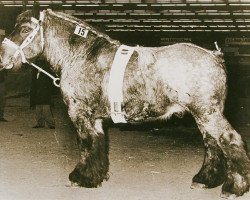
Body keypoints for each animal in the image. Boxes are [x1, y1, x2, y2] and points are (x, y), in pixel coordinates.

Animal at [0, 8, 250, 198]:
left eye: (25, 29)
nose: (3, 57)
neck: (82, 55)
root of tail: (215, 56)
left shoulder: (80, 113)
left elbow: (86, 144)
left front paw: (80, 177)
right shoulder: (95, 118)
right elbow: (98, 144)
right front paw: (96, 176)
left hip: (208, 114)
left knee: (229, 140)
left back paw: (234, 187)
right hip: (204, 115)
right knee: (212, 144)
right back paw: (204, 180)